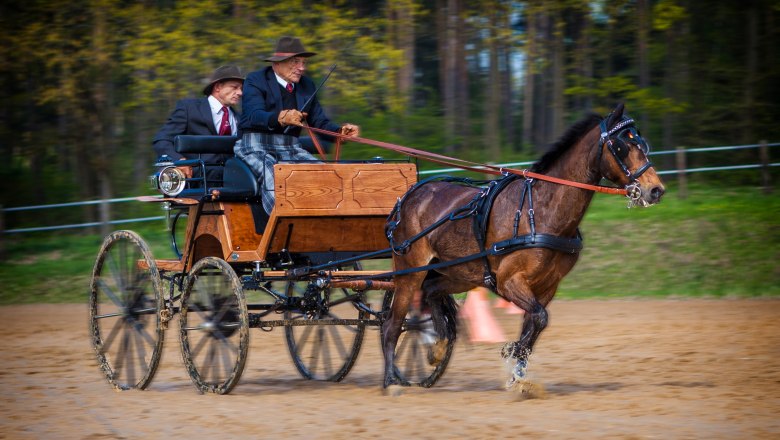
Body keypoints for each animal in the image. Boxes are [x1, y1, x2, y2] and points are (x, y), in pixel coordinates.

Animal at [382, 104, 664, 396]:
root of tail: (409, 196)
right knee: (393, 324)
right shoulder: (509, 282)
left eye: (643, 143)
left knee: (430, 292)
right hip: (410, 271)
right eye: (622, 146)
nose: (655, 190)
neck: (540, 210)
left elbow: (535, 323)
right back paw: (392, 381)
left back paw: (437, 348)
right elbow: (540, 318)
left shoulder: (546, 286)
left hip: (458, 274)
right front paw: (512, 351)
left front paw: (519, 375)